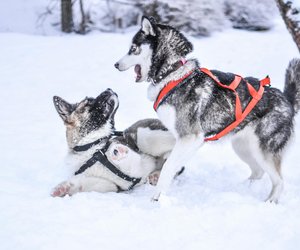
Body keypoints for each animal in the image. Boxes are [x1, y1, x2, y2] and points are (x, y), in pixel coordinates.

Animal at [114, 16, 300, 203]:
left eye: (133, 49)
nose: (115, 64)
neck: (172, 74)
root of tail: (287, 100)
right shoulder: (188, 141)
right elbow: (171, 164)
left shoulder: (190, 137)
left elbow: (168, 166)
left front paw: (157, 198)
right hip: (243, 147)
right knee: (258, 171)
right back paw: (242, 187)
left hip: (263, 151)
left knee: (279, 181)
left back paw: (270, 201)